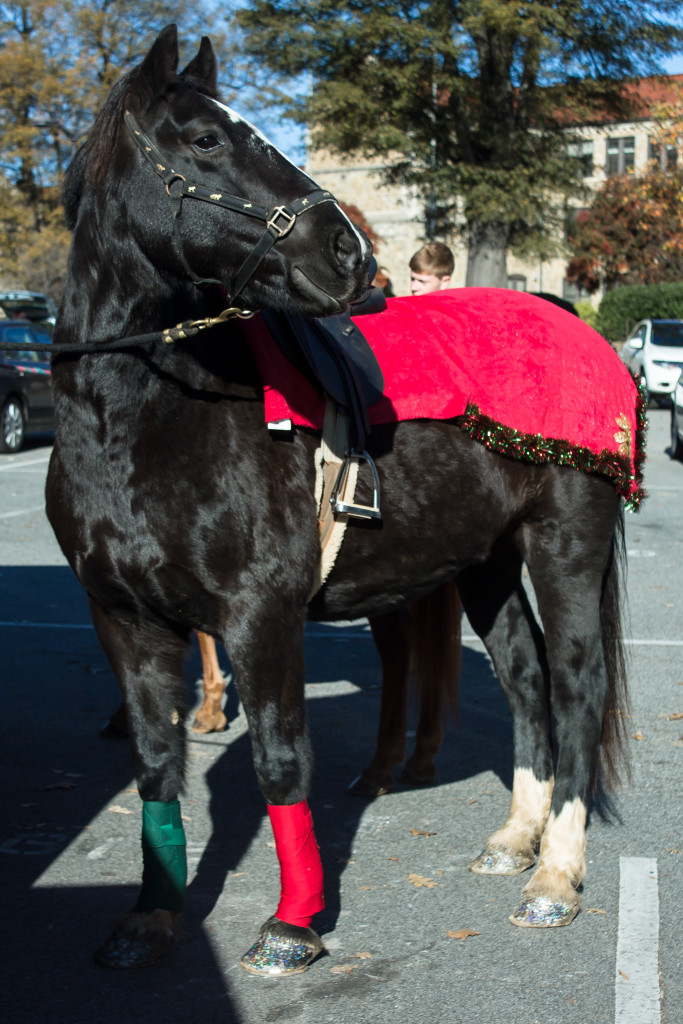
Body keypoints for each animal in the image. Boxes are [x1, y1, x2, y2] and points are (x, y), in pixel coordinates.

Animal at [46, 25, 634, 974]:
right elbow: (156, 764)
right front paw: (152, 916)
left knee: (577, 687)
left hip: (563, 545)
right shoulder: (124, 621)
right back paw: (515, 841)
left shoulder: (260, 616)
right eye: (203, 140)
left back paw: (554, 877)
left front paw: (292, 925)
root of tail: (577, 326)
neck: (147, 426)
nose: (346, 252)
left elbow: (281, 762)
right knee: (524, 678)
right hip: (485, 563)